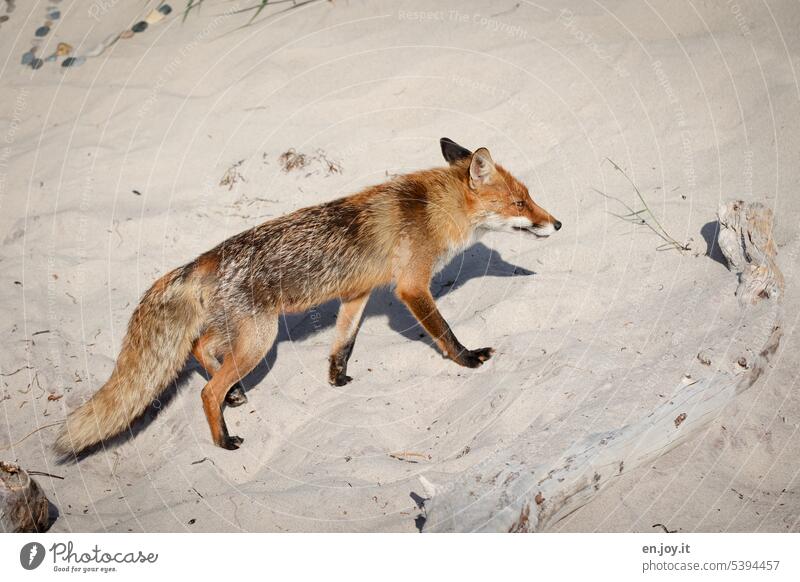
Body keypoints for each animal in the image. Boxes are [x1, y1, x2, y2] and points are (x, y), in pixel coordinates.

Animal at [53, 138, 560, 456]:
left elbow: (344, 343)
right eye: (519, 204)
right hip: (260, 340)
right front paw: (470, 359)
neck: (432, 209)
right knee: (204, 390)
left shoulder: (358, 292)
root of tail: (205, 258)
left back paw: (234, 396)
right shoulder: (412, 285)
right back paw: (223, 439)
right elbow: (444, 333)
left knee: (199, 348)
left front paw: (337, 379)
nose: (556, 223)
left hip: (242, 334)